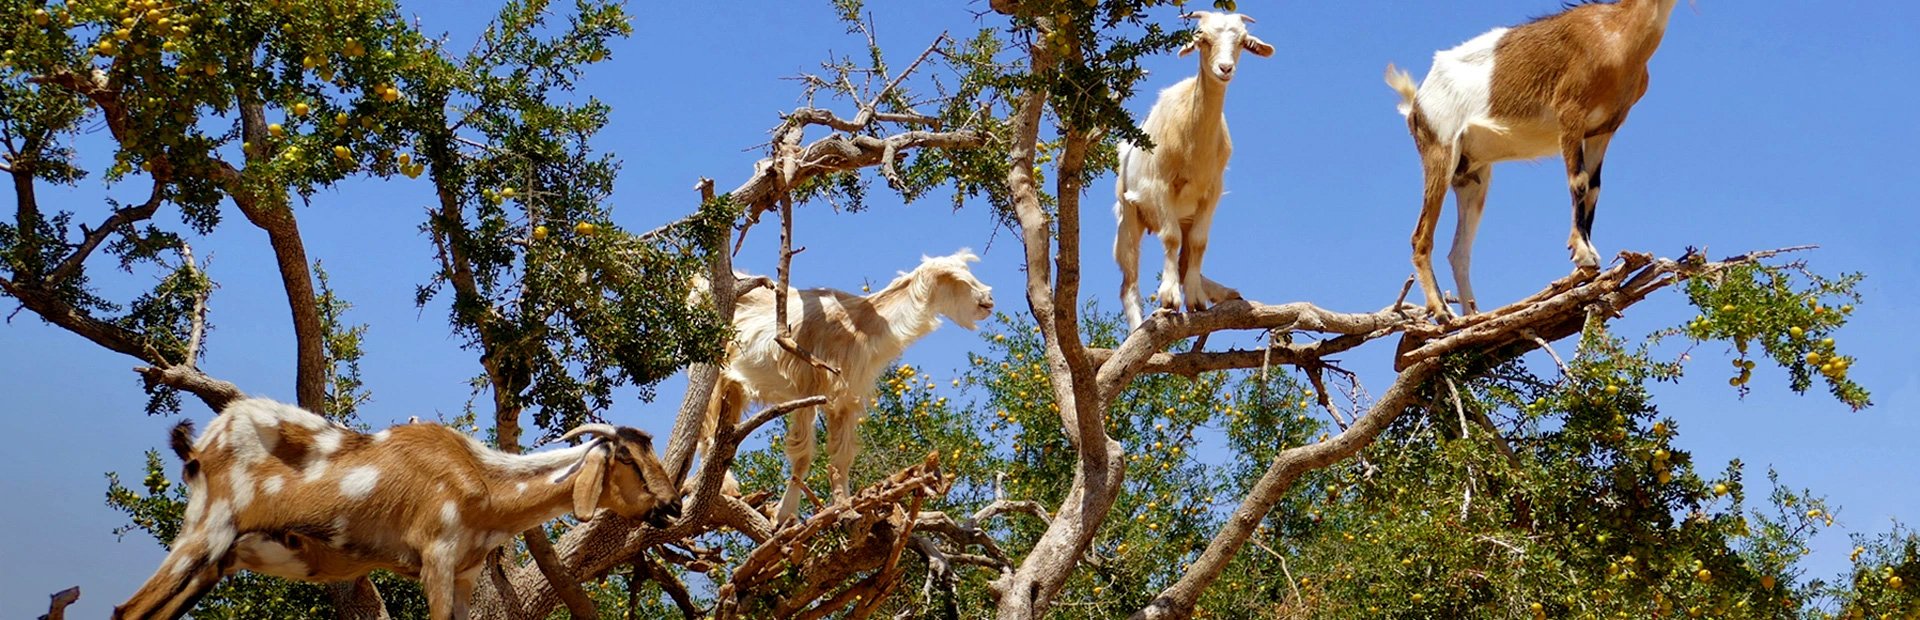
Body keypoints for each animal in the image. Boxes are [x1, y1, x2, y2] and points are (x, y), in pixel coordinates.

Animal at [115, 398, 680, 620]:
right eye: (626, 457)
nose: (672, 505)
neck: (482, 480)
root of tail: (202, 445)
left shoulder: (466, 574)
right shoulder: (436, 557)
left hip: (219, 558)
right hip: (204, 532)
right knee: (128, 610)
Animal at [699, 250, 992, 522]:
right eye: (955, 279)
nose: (988, 301)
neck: (861, 325)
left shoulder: (847, 400)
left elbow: (842, 457)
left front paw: (846, 507)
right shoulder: (808, 390)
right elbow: (802, 454)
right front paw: (784, 516)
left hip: (734, 384)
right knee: (706, 427)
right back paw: (726, 488)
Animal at [1114, 11, 1272, 330]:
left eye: (1242, 41)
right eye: (1204, 40)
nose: (1225, 68)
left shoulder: (1211, 193)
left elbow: (1199, 243)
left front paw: (1196, 299)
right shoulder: (1159, 186)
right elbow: (1170, 238)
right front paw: (1170, 297)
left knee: (1186, 257)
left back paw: (1221, 291)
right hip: (1128, 214)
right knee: (1129, 282)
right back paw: (1137, 326)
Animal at [1386, 0, 1684, 317]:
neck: (1616, 33)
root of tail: (1415, 104)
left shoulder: (1602, 130)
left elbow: (1594, 190)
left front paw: (1588, 265)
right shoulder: (1569, 116)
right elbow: (1579, 182)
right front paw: (1582, 254)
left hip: (1472, 177)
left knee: (1459, 253)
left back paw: (1473, 316)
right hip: (1441, 151)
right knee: (1421, 237)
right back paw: (1442, 312)